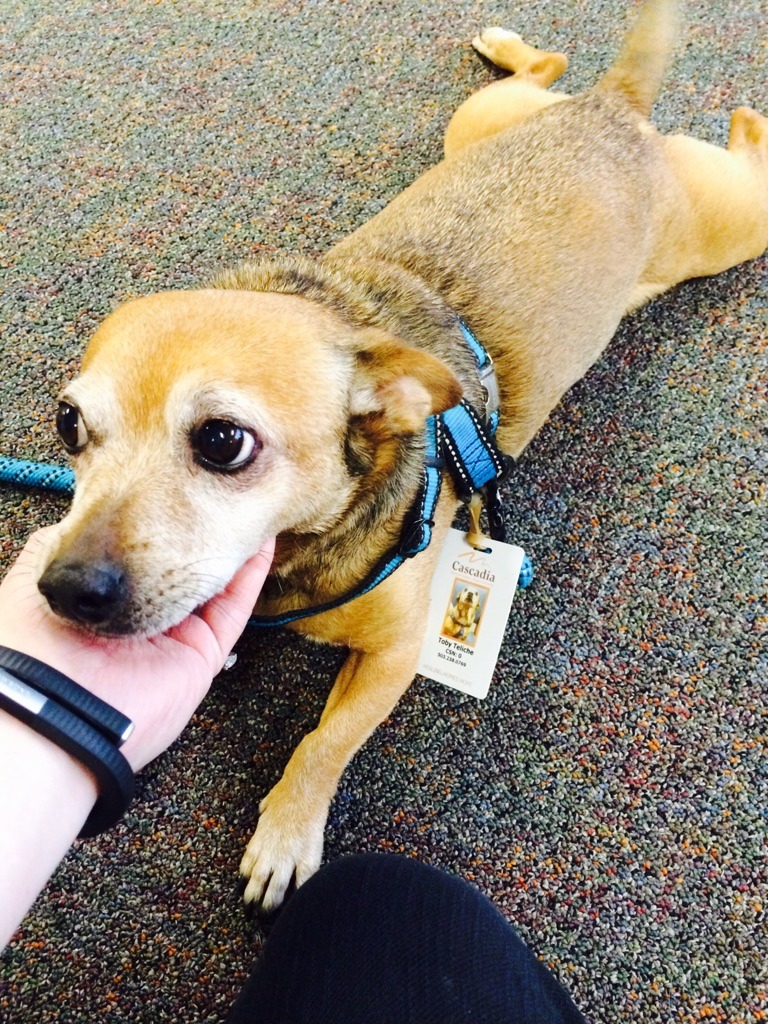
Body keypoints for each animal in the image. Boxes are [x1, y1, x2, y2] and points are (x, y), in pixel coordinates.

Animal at [34, 0, 768, 913]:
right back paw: (511, 47)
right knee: (545, 67)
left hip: (730, 227)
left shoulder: (393, 654)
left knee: (753, 147)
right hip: (483, 125)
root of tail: (612, 112)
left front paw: (286, 833)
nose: (64, 591)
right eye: (69, 424)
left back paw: (744, 115)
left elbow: (323, 743)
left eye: (223, 441)